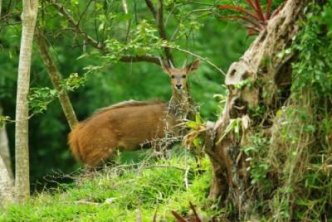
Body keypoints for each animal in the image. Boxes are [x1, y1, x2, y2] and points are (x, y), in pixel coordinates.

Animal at [68, 59, 200, 167]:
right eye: (172, 76)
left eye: (184, 75)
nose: (179, 85)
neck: (173, 115)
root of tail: (75, 135)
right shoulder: (159, 141)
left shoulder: (168, 144)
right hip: (98, 153)